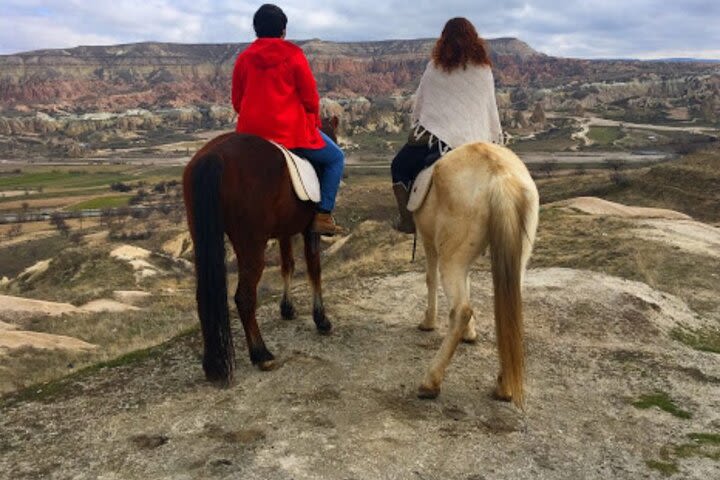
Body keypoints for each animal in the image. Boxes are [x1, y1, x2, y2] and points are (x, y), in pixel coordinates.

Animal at [180, 118, 338, 384]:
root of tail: (213, 155)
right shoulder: (310, 230)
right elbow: (314, 268)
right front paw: (321, 319)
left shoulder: (284, 232)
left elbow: (287, 265)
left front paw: (287, 309)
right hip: (251, 243)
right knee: (244, 297)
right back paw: (261, 354)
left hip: (201, 235)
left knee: (204, 296)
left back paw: (212, 366)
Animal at [414, 141, 536, 406]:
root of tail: (500, 175)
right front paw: (470, 334)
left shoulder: (428, 241)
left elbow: (430, 280)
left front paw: (428, 322)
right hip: (518, 257)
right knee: (510, 310)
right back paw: (504, 387)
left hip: (450, 259)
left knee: (460, 310)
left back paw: (430, 382)